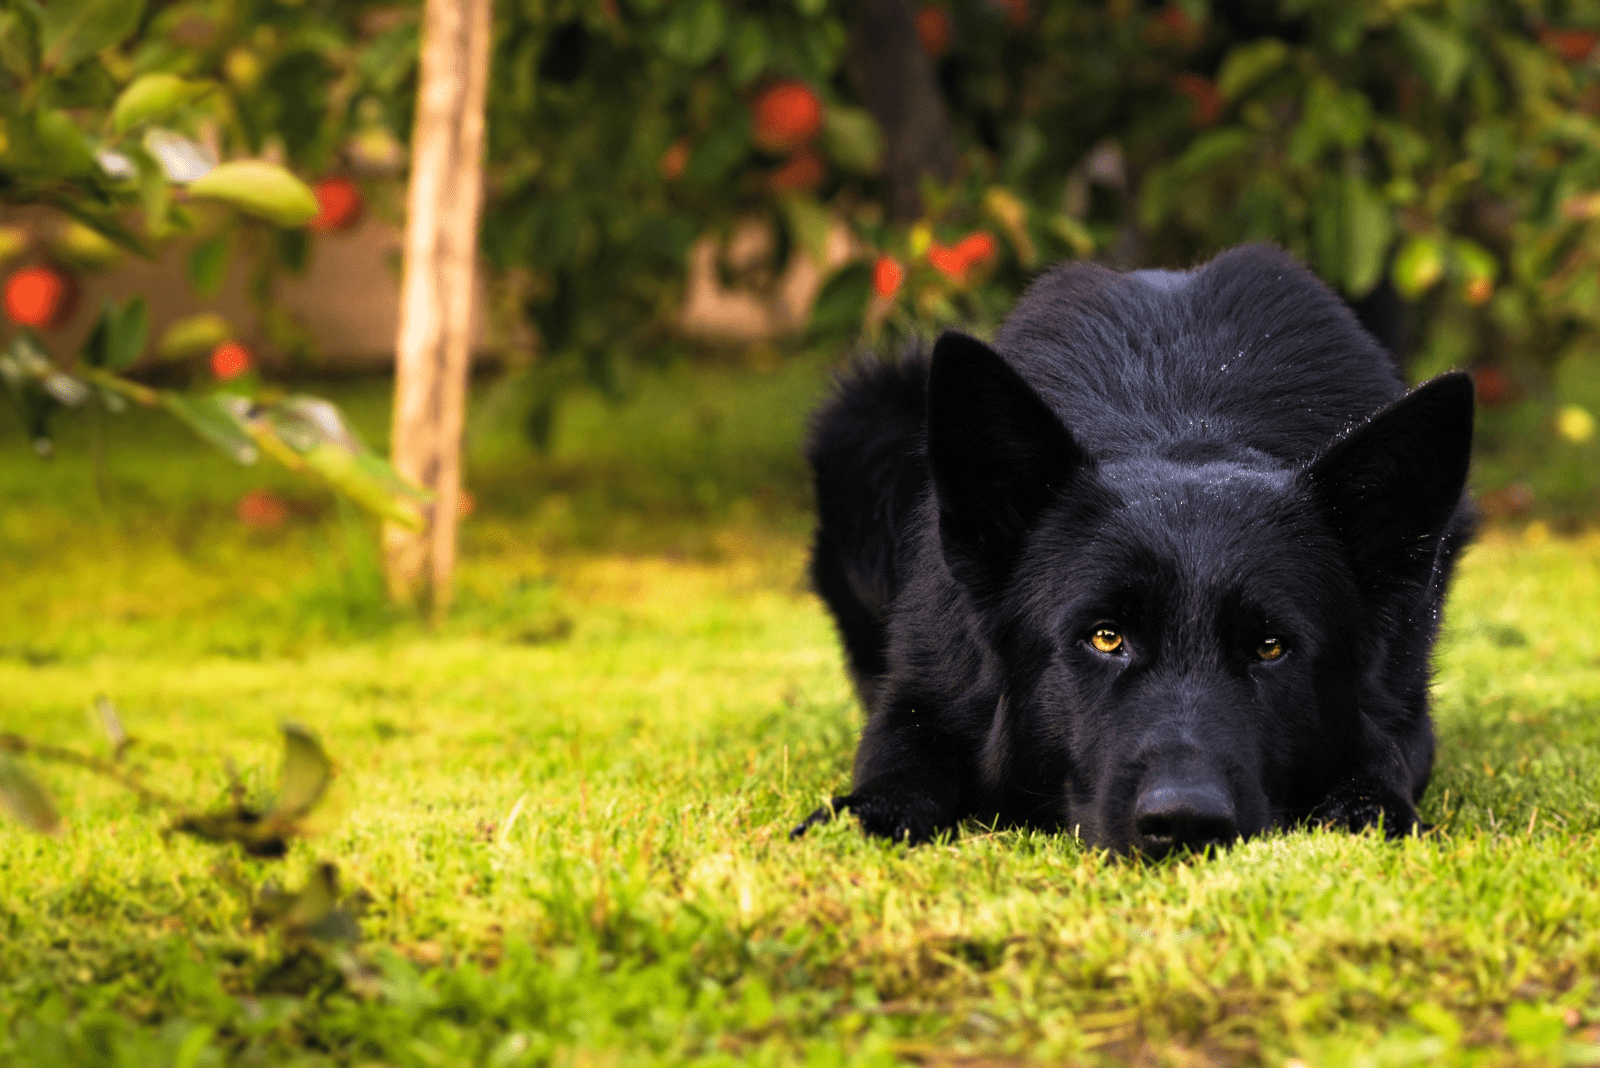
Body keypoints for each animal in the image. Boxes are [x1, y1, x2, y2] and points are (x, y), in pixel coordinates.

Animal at [796, 246, 1472, 856]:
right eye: (1105, 637)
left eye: (1270, 648)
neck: (1185, 427)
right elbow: (899, 765)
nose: (1185, 824)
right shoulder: (920, 696)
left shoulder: (1402, 711)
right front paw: (865, 817)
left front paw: (1368, 814)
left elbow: (1380, 768)